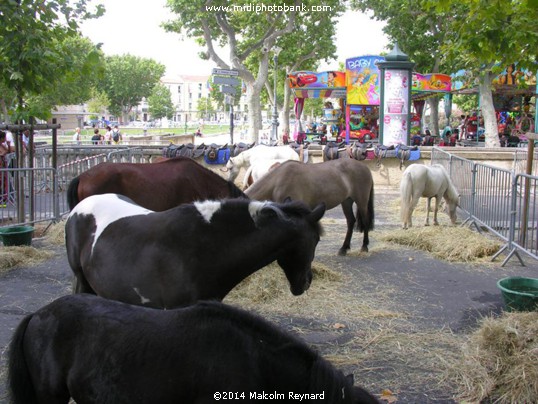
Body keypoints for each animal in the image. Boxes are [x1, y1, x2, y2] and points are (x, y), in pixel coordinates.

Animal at [244, 159, 372, 256]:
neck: (277, 181)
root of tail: (365, 167)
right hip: (346, 202)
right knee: (350, 221)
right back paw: (344, 248)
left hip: (361, 201)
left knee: (365, 221)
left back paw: (364, 246)